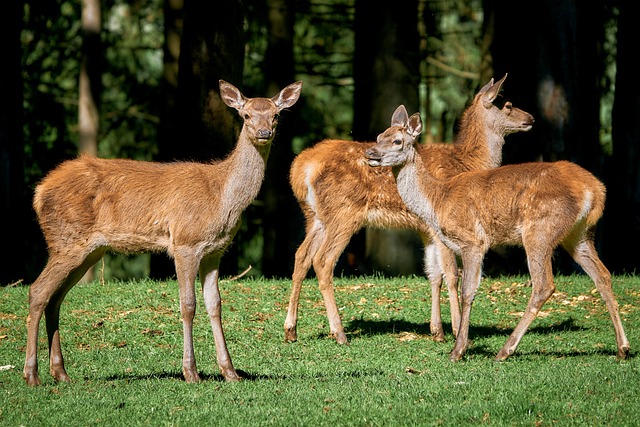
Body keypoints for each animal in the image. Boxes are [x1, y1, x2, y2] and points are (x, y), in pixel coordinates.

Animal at [23, 78, 304, 386]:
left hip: (89, 250)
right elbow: (188, 304)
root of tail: (38, 191)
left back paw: (61, 373)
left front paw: (230, 372)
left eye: (276, 115)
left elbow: (215, 304)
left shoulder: (215, 251)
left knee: (55, 297)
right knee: (38, 291)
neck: (221, 197)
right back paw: (32, 374)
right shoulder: (185, 242)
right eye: (246, 115)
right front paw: (191, 372)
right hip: (67, 239)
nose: (264, 132)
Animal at [286, 75, 536, 346]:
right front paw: (457, 329)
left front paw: (437, 331)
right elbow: (451, 274)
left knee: (301, 256)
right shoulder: (442, 224)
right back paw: (339, 332)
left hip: (314, 217)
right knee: (322, 260)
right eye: (507, 104)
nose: (531, 118)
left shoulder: (426, 230)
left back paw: (291, 330)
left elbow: (433, 274)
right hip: (343, 213)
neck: (469, 162)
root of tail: (301, 168)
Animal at [364, 104, 632, 362]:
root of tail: (595, 190)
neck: (437, 200)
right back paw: (623, 348)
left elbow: (468, 290)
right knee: (603, 275)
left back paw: (505, 350)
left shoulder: (473, 241)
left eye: (397, 141)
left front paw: (458, 350)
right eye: (378, 137)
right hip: (579, 234)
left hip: (540, 229)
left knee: (544, 284)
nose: (370, 153)